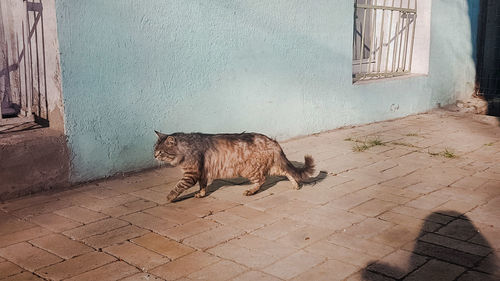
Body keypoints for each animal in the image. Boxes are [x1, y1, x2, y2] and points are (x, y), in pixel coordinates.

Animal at [154, 131, 314, 201]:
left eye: (160, 151)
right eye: (154, 148)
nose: (154, 155)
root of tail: (272, 141)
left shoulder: (191, 174)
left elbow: (178, 187)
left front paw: (169, 197)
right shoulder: (202, 172)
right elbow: (202, 185)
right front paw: (201, 194)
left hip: (250, 169)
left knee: (262, 179)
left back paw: (250, 191)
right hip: (273, 166)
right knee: (288, 172)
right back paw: (296, 185)